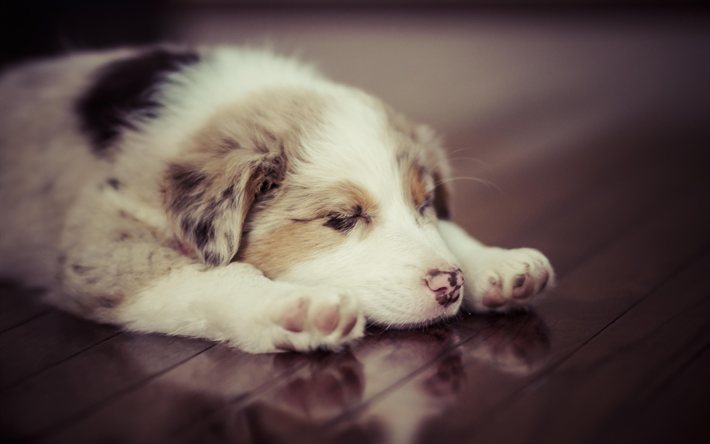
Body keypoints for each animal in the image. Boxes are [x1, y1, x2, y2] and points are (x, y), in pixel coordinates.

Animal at [0, 46, 556, 354]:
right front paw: (296, 309)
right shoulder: (98, 241)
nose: (450, 284)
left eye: (424, 205)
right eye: (341, 218)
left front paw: (498, 267)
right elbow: (208, 274)